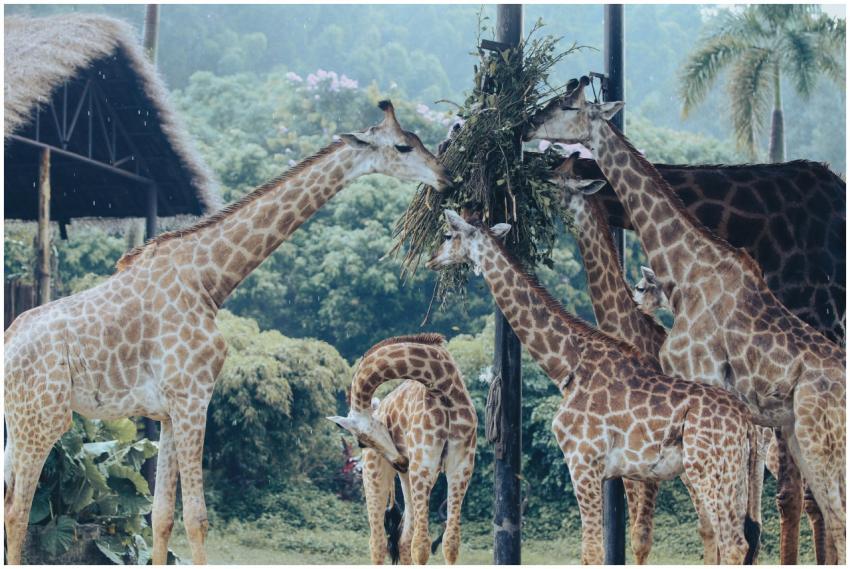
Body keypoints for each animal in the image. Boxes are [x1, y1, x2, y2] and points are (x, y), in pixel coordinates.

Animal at [3, 100, 452, 566]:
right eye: (403, 146)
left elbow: (161, 516)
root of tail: (7, 346)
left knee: (8, 500)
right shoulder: (194, 397)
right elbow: (197, 519)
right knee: (19, 509)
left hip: (16, 422)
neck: (210, 281)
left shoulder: (168, 411)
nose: (447, 177)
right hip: (44, 418)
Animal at [328, 333, 477, 565]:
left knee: (404, 539)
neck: (442, 385)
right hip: (377, 474)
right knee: (379, 542)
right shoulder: (424, 465)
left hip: (410, 477)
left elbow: (450, 542)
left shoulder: (461, 465)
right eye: (361, 443)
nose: (399, 461)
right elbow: (422, 546)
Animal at [426, 210, 761, 564]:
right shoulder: (606, 470)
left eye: (448, 235)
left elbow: (591, 551)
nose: (431, 259)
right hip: (733, 476)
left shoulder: (582, 461)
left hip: (709, 470)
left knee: (733, 542)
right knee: (737, 540)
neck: (567, 366)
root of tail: (746, 423)